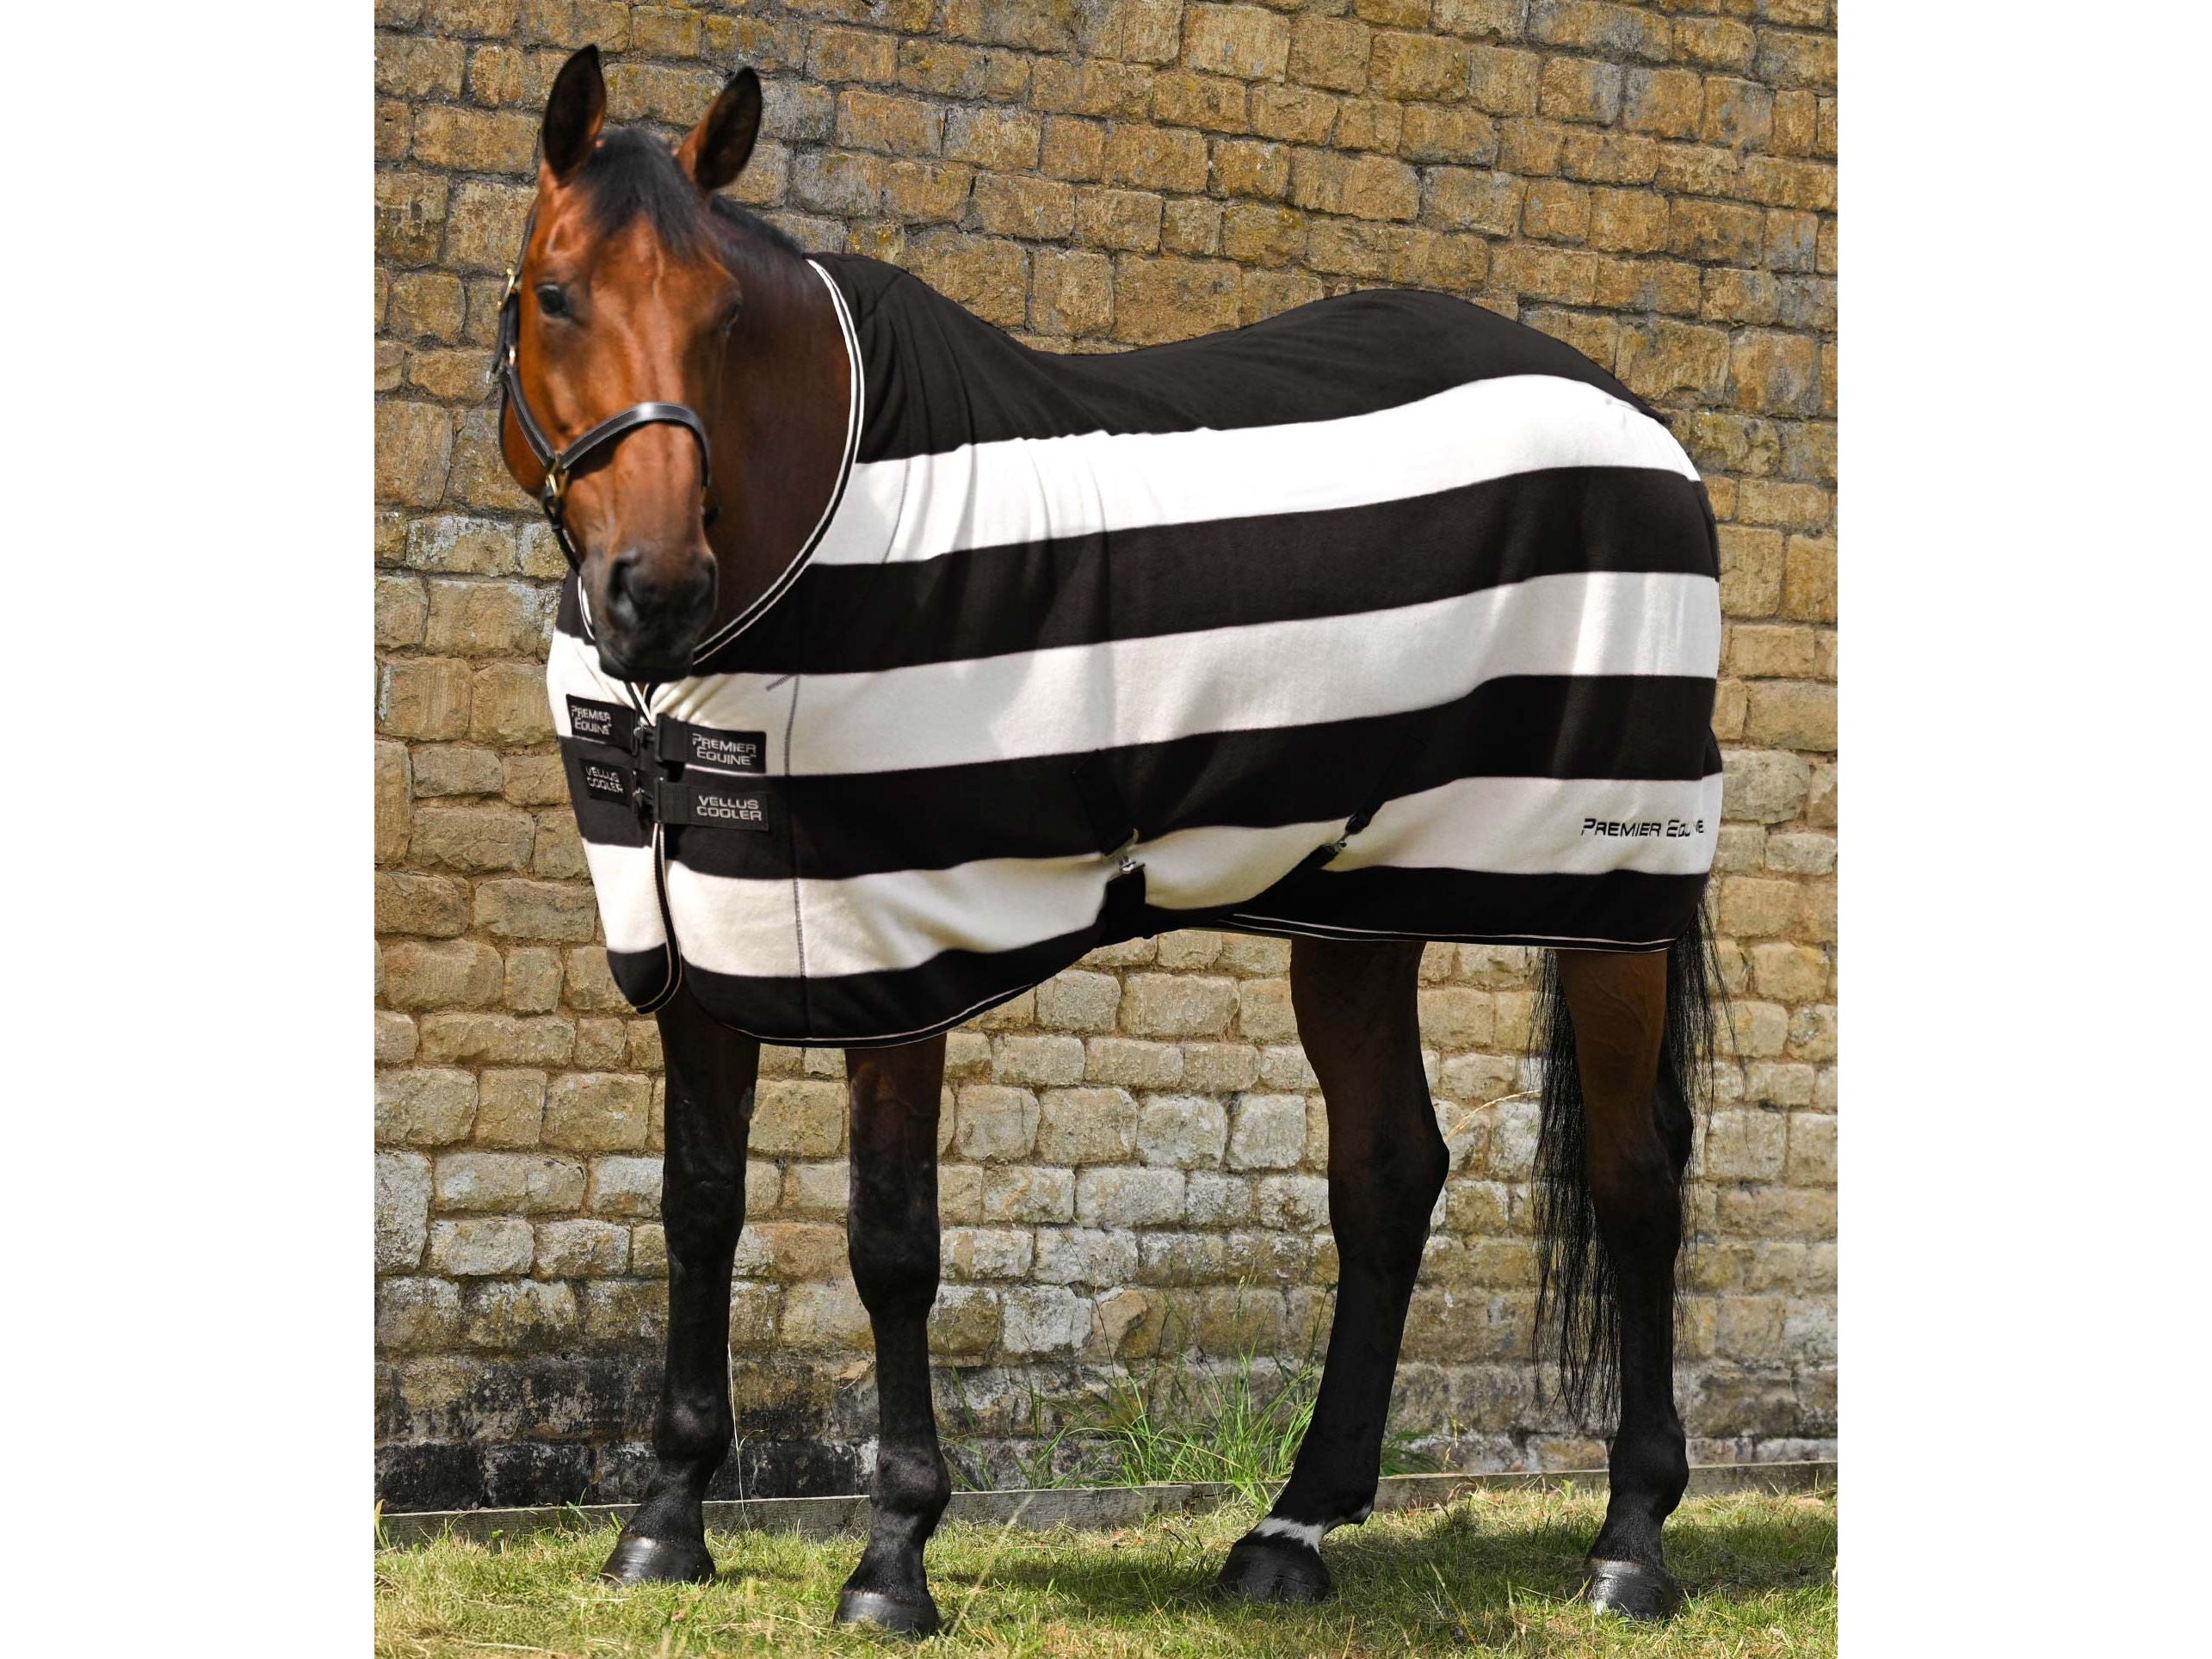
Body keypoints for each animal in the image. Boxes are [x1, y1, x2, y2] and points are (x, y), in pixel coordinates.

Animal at [491, 45, 1723, 1631]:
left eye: (724, 316)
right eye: (556, 293)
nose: (654, 590)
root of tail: (1639, 421)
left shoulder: (898, 944)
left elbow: (890, 1243)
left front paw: (893, 1555)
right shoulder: (697, 937)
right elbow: (697, 1205)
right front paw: (663, 1520)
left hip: (1607, 888)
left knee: (1635, 1177)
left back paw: (1629, 1541)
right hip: (1358, 897)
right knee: (1389, 1173)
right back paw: (1292, 1529)